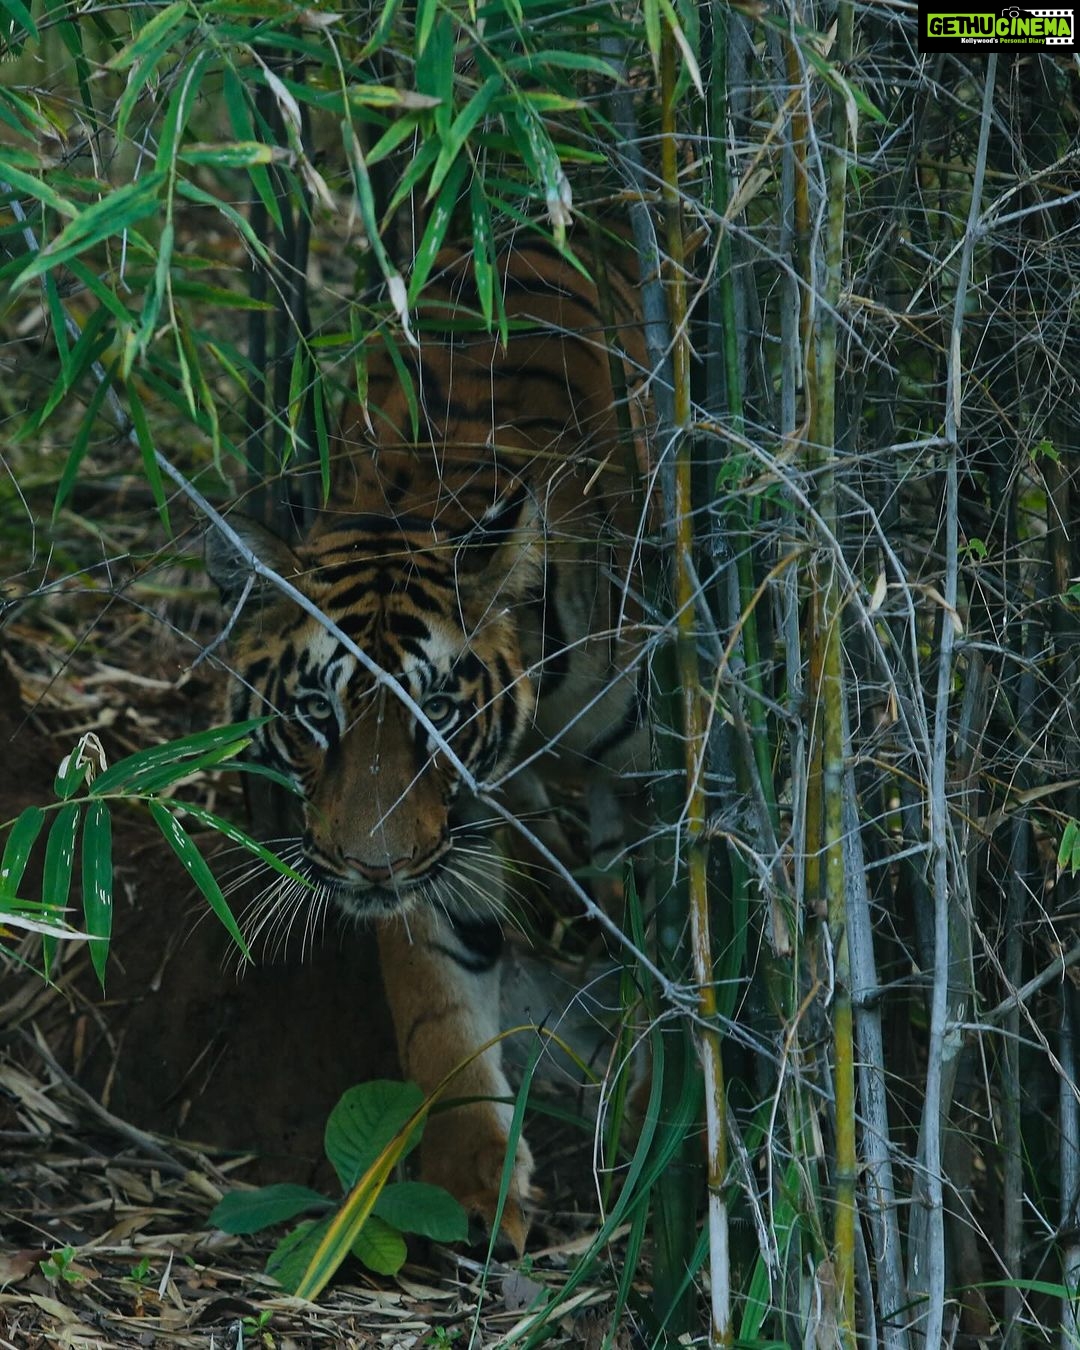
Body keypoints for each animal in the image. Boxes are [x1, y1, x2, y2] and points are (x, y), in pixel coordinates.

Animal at [206, 235, 653, 1251]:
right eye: (315, 716)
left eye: (438, 715)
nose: (370, 869)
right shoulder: (440, 845)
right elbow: (437, 1007)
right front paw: (476, 1183)